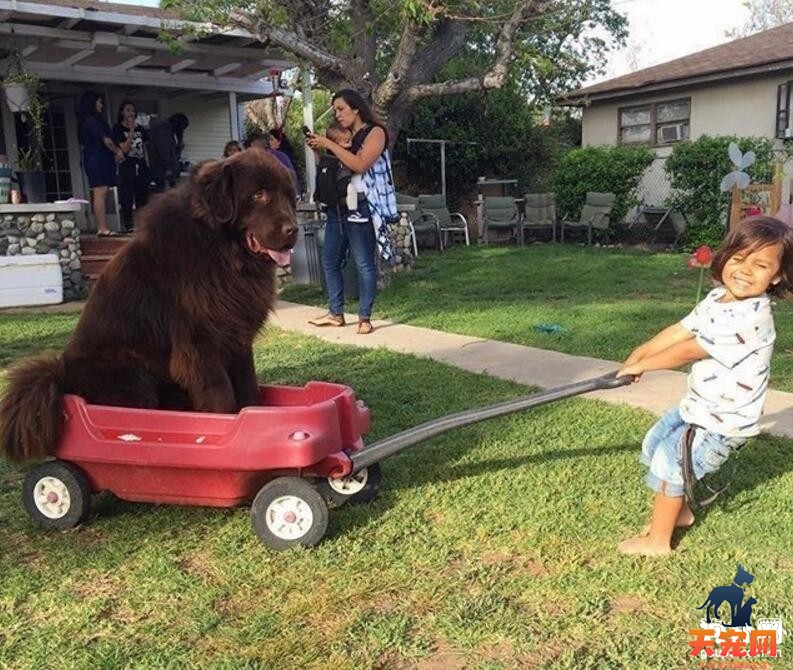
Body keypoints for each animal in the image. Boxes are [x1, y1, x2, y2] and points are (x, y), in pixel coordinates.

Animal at [0, 148, 296, 464]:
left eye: (288, 195)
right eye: (259, 194)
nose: (293, 230)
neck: (221, 251)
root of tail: (63, 379)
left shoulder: (237, 337)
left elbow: (248, 388)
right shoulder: (199, 347)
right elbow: (222, 398)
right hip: (132, 370)